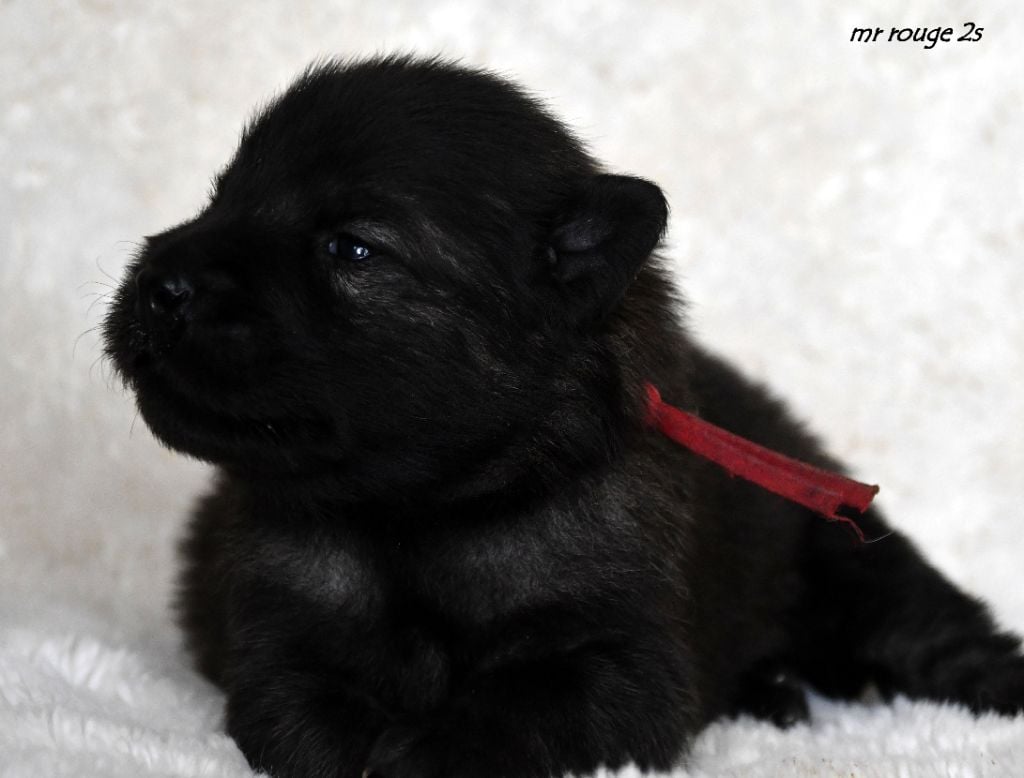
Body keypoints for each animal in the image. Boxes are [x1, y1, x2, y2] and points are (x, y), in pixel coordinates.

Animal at [103, 56, 1024, 777]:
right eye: (221, 198)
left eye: (352, 248)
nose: (158, 284)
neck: (419, 516)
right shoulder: (282, 637)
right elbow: (309, 715)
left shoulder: (621, 663)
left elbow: (523, 705)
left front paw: (426, 748)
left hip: (847, 560)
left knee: (936, 632)